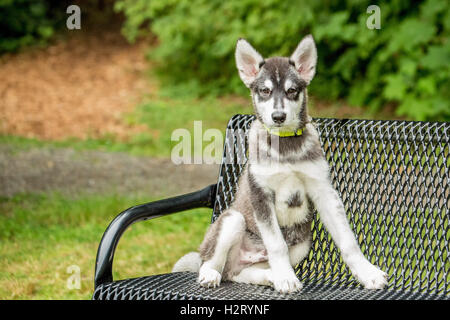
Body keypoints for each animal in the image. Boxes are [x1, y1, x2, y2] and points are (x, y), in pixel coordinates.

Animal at [172, 34, 386, 292]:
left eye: (292, 90)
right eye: (264, 90)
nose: (278, 117)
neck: (286, 148)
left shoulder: (324, 190)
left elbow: (348, 241)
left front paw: (368, 273)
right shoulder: (261, 194)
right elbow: (277, 244)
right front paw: (285, 277)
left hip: (302, 244)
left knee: (239, 274)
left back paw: (270, 277)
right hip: (233, 220)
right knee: (211, 262)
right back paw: (214, 274)